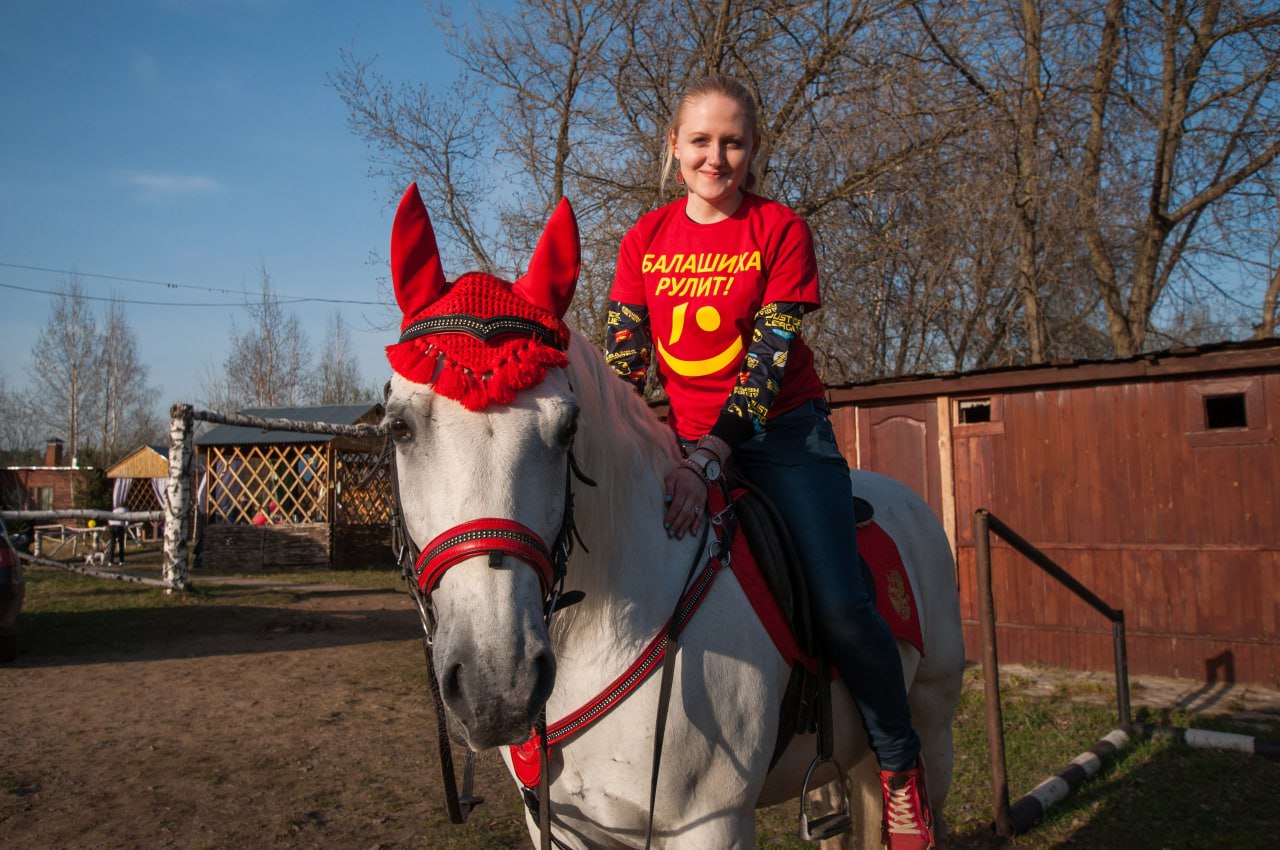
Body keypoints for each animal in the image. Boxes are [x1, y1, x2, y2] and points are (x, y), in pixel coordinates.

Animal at [384, 188, 962, 850]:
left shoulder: (712, 826)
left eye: (568, 429)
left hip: (932, 724)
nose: (496, 686)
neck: (600, 636)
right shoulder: (557, 827)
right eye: (399, 427)